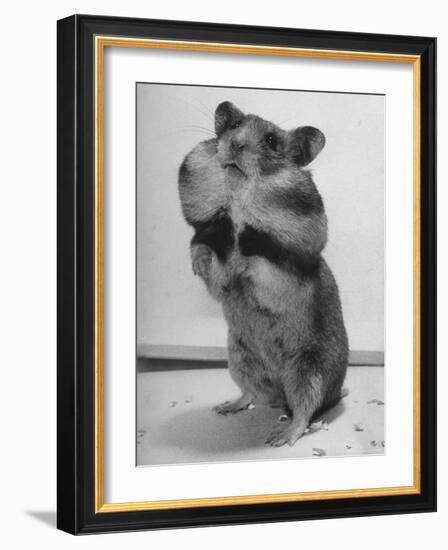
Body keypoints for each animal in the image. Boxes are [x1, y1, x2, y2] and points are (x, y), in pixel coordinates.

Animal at [177, 102, 348, 448]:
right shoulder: (214, 253)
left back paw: (280, 436)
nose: (235, 144)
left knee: (304, 410)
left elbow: (260, 267)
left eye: (271, 140)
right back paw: (226, 407)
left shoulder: (287, 271)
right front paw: (199, 263)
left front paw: (244, 262)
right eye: (234, 126)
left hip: (307, 372)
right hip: (240, 360)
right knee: (251, 394)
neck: (237, 206)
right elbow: (207, 257)